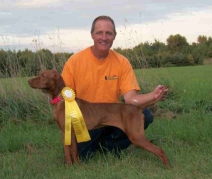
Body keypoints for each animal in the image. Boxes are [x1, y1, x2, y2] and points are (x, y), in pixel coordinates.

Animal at [29, 69, 170, 168]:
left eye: (42, 75)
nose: (28, 81)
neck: (62, 99)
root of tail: (136, 107)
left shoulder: (67, 131)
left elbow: (69, 152)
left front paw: (70, 167)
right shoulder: (70, 133)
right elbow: (73, 152)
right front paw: (76, 166)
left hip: (136, 135)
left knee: (160, 150)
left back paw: (167, 168)